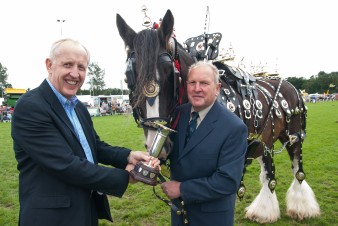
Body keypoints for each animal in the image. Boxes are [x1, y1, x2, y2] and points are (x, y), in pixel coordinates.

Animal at [116, 9, 320, 224]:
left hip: (294, 137)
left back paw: (302, 207)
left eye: (170, 75)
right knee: (269, 174)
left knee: (298, 171)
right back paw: (263, 211)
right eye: (128, 78)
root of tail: (288, 85)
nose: (157, 146)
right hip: (265, 140)